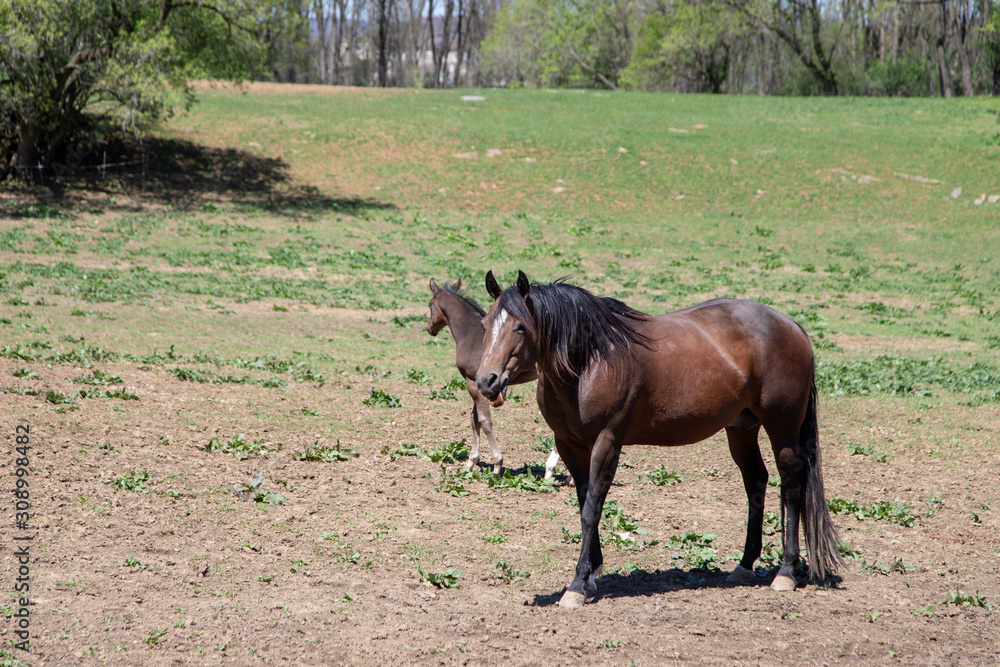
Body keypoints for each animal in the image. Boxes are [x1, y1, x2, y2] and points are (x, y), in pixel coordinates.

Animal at [427, 278, 561, 477]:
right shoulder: (479, 385)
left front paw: (497, 464)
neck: (469, 333)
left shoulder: (474, 383)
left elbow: (484, 420)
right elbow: (473, 419)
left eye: (430, 305)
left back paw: (551, 468)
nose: (429, 328)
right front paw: (471, 462)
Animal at [475, 270, 842, 609]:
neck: (589, 362)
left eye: (520, 327)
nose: (485, 380)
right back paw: (744, 565)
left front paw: (578, 585)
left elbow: (592, 509)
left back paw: (786, 571)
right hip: (741, 428)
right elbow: (584, 503)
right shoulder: (569, 445)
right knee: (756, 481)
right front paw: (591, 574)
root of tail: (791, 325)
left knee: (790, 485)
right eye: (484, 323)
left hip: (782, 426)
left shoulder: (607, 443)